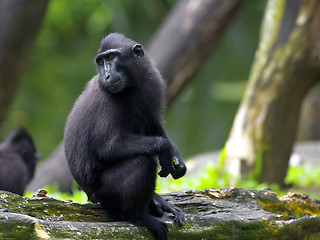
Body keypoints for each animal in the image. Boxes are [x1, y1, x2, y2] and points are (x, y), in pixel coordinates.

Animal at [64, 32, 186, 240]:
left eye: (111, 58)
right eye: (101, 61)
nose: (105, 75)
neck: (131, 86)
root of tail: (89, 195)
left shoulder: (153, 82)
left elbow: (155, 125)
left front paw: (175, 157)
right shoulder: (107, 100)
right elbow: (108, 148)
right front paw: (165, 149)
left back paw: (155, 202)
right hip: (104, 194)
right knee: (142, 162)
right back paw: (136, 216)